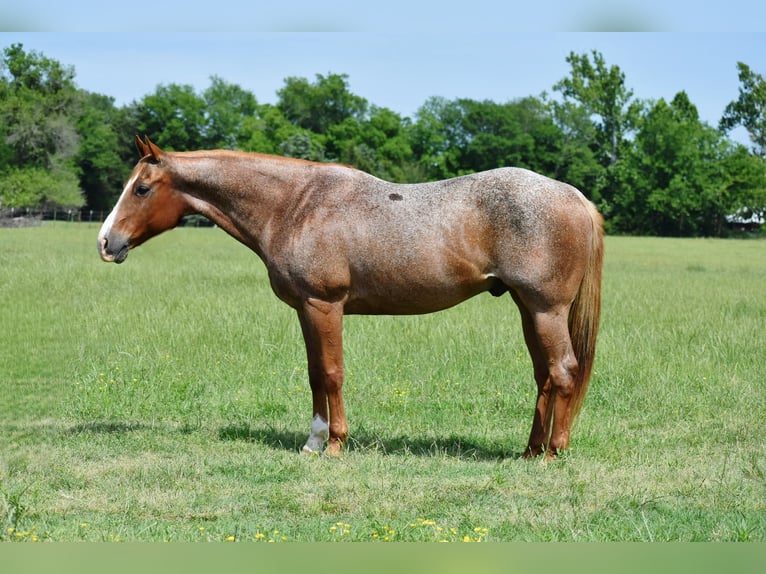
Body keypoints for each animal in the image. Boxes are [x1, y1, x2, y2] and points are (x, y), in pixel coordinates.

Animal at [98, 136, 603, 459]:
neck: (295, 205)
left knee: (563, 372)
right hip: (526, 308)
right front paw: (313, 442)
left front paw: (334, 444)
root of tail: (575, 197)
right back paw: (530, 450)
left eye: (141, 188)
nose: (106, 242)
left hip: (545, 309)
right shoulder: (306, 310)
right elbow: (314, 375)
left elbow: (331, 373)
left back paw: (553, 453)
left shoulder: (324, 306)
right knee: (544, 376)